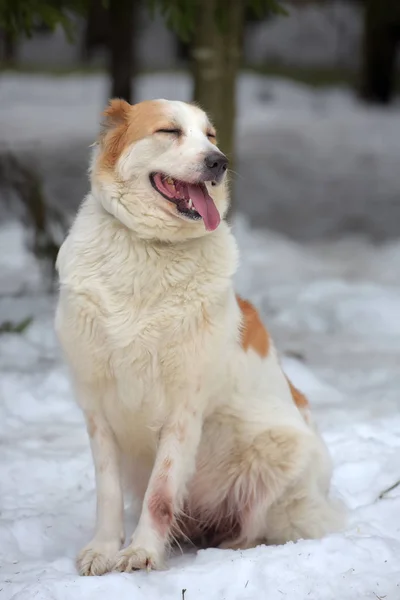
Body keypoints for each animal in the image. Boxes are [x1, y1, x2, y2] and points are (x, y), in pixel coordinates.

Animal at [55, 98, 344, 576]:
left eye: (210, 136)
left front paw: (142, 552)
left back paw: (228, 545)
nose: (219, 162)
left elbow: (159, 494)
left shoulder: (182, 410)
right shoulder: (97, 405)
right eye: (169, 131)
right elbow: (108, 492)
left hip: (280, 454)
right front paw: (103, 549)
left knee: (255, 526)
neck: (149, 249)